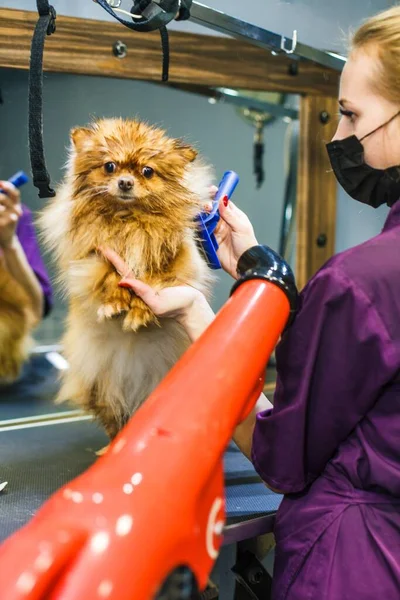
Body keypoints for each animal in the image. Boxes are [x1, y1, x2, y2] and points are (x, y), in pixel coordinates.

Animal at [40, 117, 214, 438]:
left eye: (147, 171)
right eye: (110, 166)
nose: (125, 182)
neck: (128, 220)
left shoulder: (178, 258)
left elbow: (156, 278)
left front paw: (140, 310)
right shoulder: (95, 254)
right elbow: (110, 275)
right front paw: (115, 303)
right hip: (99, 386)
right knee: (113, 418)